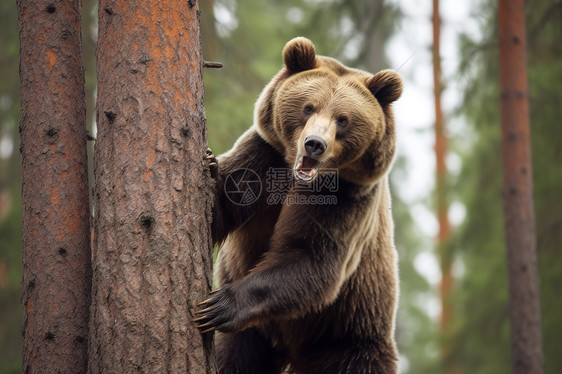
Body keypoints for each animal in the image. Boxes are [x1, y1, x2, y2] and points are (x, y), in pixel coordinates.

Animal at [195, 36, 400, 372]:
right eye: (308, 107)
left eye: (343, 119)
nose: (314, 144)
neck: (294, 173)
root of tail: (290, 352)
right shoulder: (264, 156)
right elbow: (221, 208)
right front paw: (210, 168)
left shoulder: (348, 198)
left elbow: (311, 256)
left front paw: (218, 305)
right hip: (253, 337)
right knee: (235, 358)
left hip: (347, 333)